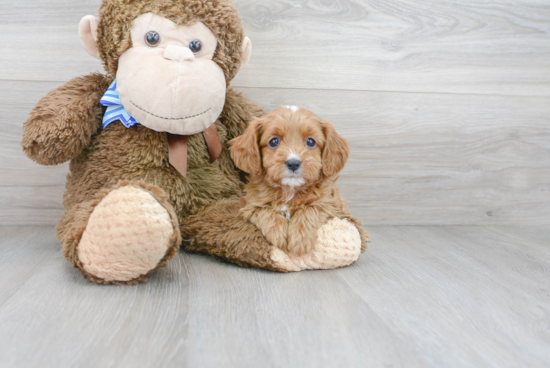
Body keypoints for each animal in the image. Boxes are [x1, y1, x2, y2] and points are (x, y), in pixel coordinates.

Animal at [231, 105, 368, 256]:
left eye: (310, 141)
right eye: (274, 141)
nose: (293, 163)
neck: (290, 191)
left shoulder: (331, 205)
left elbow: (309, 209)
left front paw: (299, 240)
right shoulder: (249, 206)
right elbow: (266, 212)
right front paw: (278, 235)